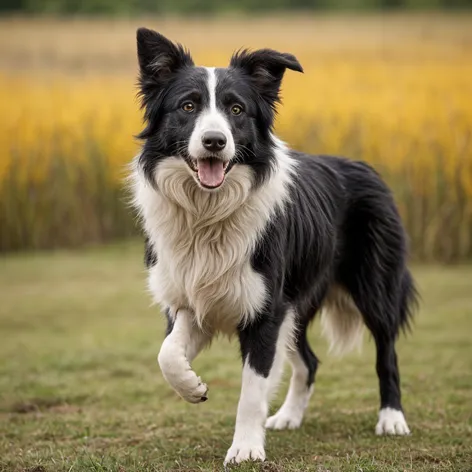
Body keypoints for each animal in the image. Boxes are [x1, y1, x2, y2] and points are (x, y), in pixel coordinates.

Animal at [130, 28, 416, 464]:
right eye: (188, 106)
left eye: (236, 109)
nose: (214, 142)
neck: (208, 214)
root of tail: (365, 167)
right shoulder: (189, 298)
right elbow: (167, 354)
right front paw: (193, 387)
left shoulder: (266, 311)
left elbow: (252, 388)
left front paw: (245, 448)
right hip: (297, 302)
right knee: (310, 362)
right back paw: (288, 417)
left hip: (373, 288)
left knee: (388, 352)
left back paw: (392, 418)